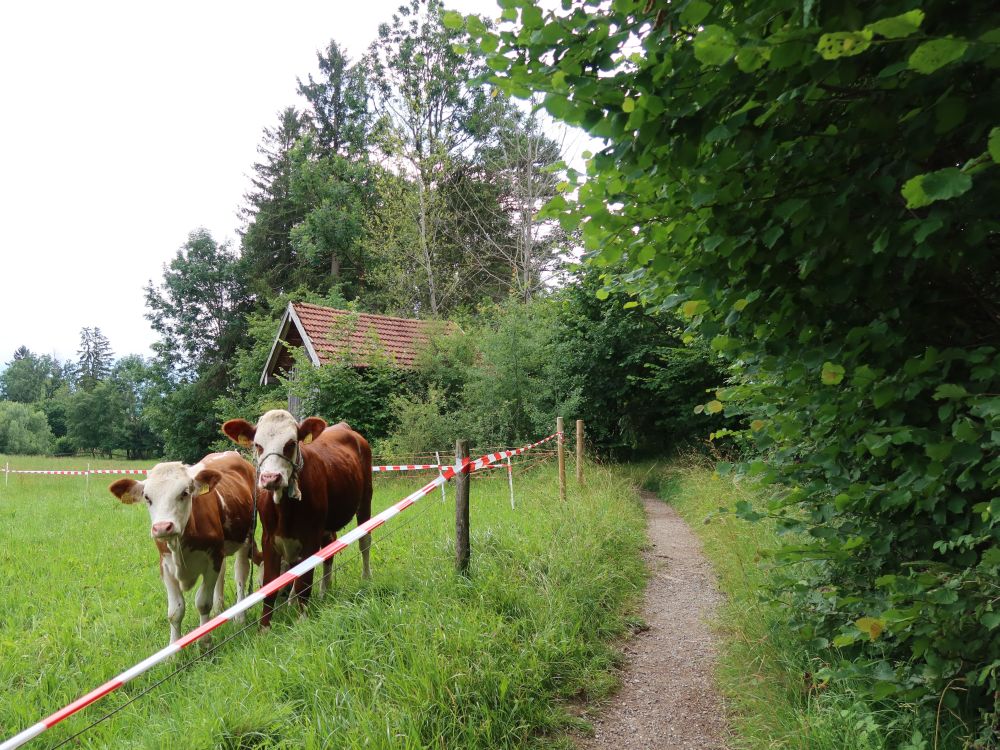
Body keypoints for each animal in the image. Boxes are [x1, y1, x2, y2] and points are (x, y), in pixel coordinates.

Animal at [109, 452, 256, 648]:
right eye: (147, 497)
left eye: (184, 493)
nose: (162, 527)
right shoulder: (166, 566)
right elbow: (175, 611)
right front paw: (174, 649)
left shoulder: (212, 560)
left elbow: (203, 603)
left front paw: (204, 641)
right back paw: (219, 609)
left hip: (247, 537)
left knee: (241, 574)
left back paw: (240, 616)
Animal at [221, 412, 374, 628]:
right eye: (257, 445)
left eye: (291, 443)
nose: (270, 478)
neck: (285, 508)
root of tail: (345, 428)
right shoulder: (269, 538)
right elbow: (273, 581)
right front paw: (265, 627)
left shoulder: (310, 536)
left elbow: (304, 580)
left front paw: (302, 618)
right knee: (329, 549)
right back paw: (324, 591)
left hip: (365, 499)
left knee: (364, 541)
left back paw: (366, 578)